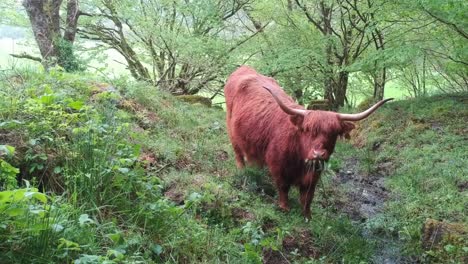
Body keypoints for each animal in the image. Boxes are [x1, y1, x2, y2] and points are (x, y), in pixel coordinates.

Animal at [223, 65, 392, 217]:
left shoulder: (314, 174)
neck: (299, 157)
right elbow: (283, 188)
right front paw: (284, 207)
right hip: (232, 132)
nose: (318, 153)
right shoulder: (277, 166)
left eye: (333, 133)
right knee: (238, 154)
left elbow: (308, 196)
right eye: (308, 130)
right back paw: (242, 170)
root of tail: (243, 69)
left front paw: (307, 215)